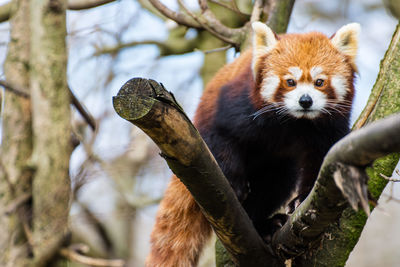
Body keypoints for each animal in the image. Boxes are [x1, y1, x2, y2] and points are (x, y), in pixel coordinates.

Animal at [146, 22, 360, 266]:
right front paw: (234, 182)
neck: (295, 122)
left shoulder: (328, 129)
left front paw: (302, 199)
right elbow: (222, 136)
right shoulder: (238, 107)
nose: (305, 101)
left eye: (319, 82)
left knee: (274, 184)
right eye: (290, 82)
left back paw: (266, 225)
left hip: (279, 167)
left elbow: (321, 162)